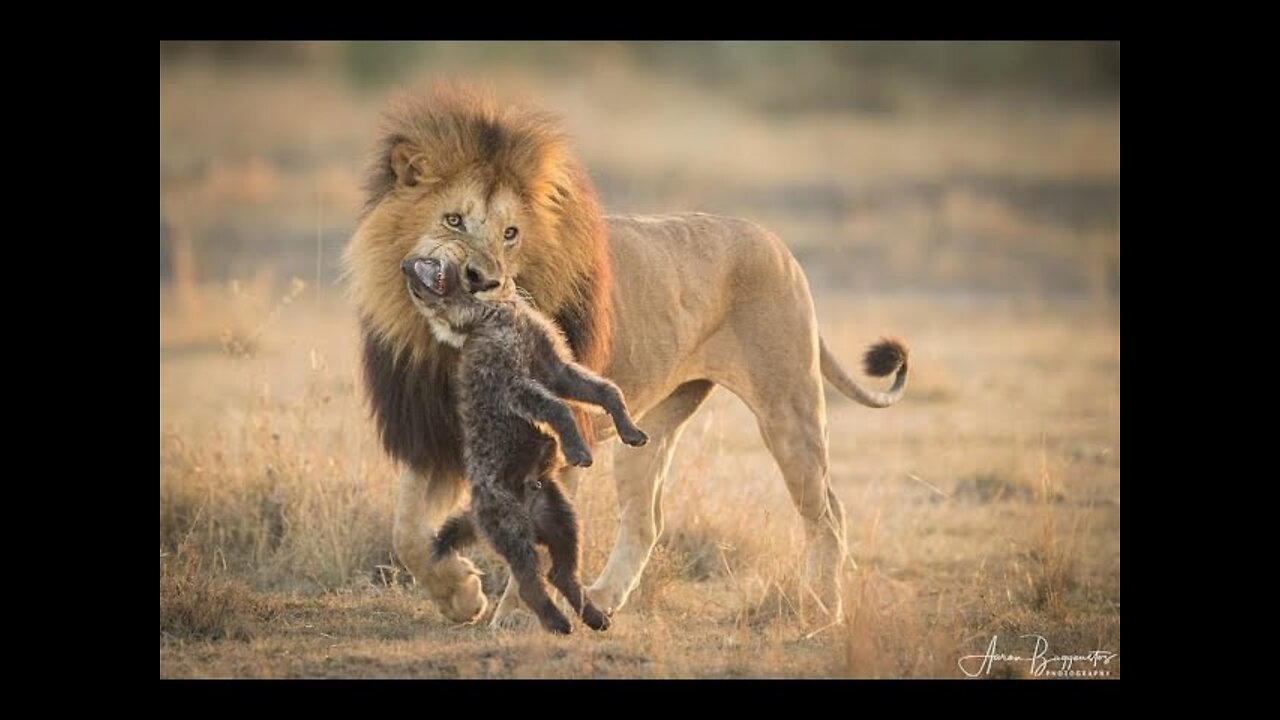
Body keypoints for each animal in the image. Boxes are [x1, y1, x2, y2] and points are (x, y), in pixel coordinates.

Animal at [343, 82, 911, 622]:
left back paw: (822, 610)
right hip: (653, 425)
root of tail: (777, 243)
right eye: (454, 220)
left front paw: (516, 615)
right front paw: (462, 597)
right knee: (646, 519)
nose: (485, 281)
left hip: (788, 407)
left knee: (828, 512)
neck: (452, 344)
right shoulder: (431, 428)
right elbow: (406, 532)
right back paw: (605, 597)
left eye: (511, 234)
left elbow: (533, 535)